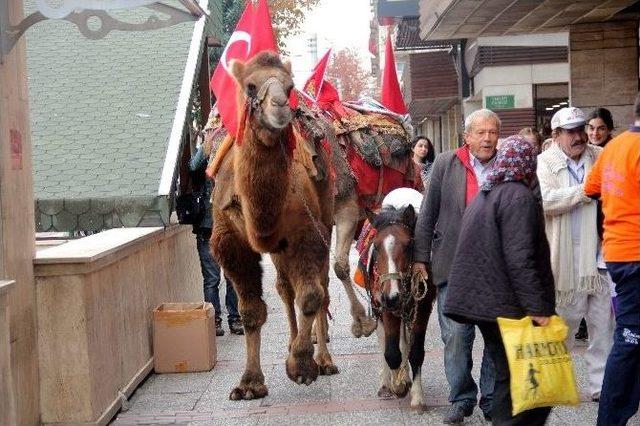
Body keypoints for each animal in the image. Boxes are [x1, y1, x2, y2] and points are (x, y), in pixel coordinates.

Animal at [210, 51, 340, 402]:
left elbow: (312, 294)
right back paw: (294, 343)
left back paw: (322, 358)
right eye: (250, 86)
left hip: (325, 216)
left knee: (320, 288)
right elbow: (252, 311)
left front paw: (302, 366)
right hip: (279, 250)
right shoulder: (230, 242)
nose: (280, 106)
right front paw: (249, 384)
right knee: (284, 288)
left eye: (290, 86)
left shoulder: (306, 233)